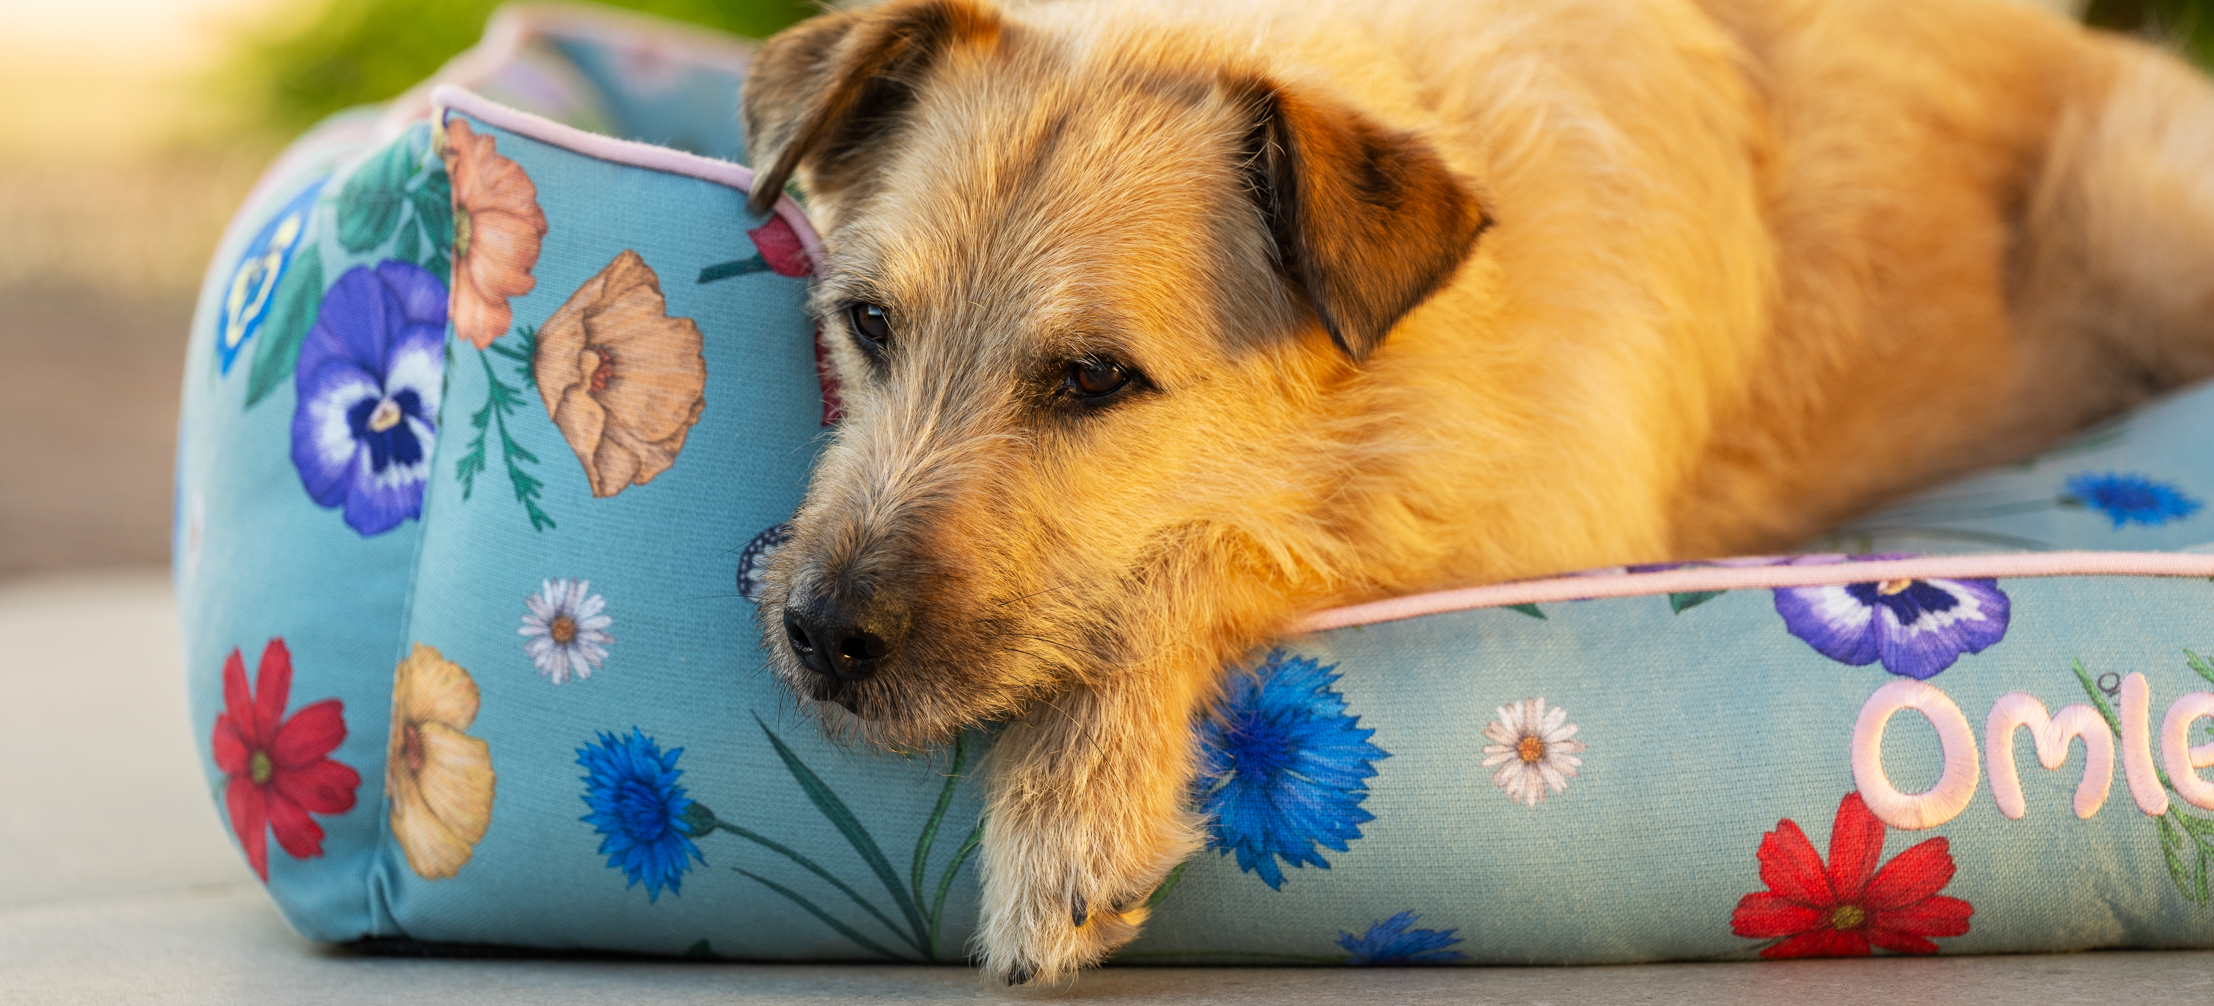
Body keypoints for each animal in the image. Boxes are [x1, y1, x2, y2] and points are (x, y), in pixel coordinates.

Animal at [735, 0, 2214, 983]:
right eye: (866, 322)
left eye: (1095, 377)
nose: (823, 634)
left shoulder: (1547, 528)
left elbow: (1211, 546)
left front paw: (1065, 805)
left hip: (2140, 209)